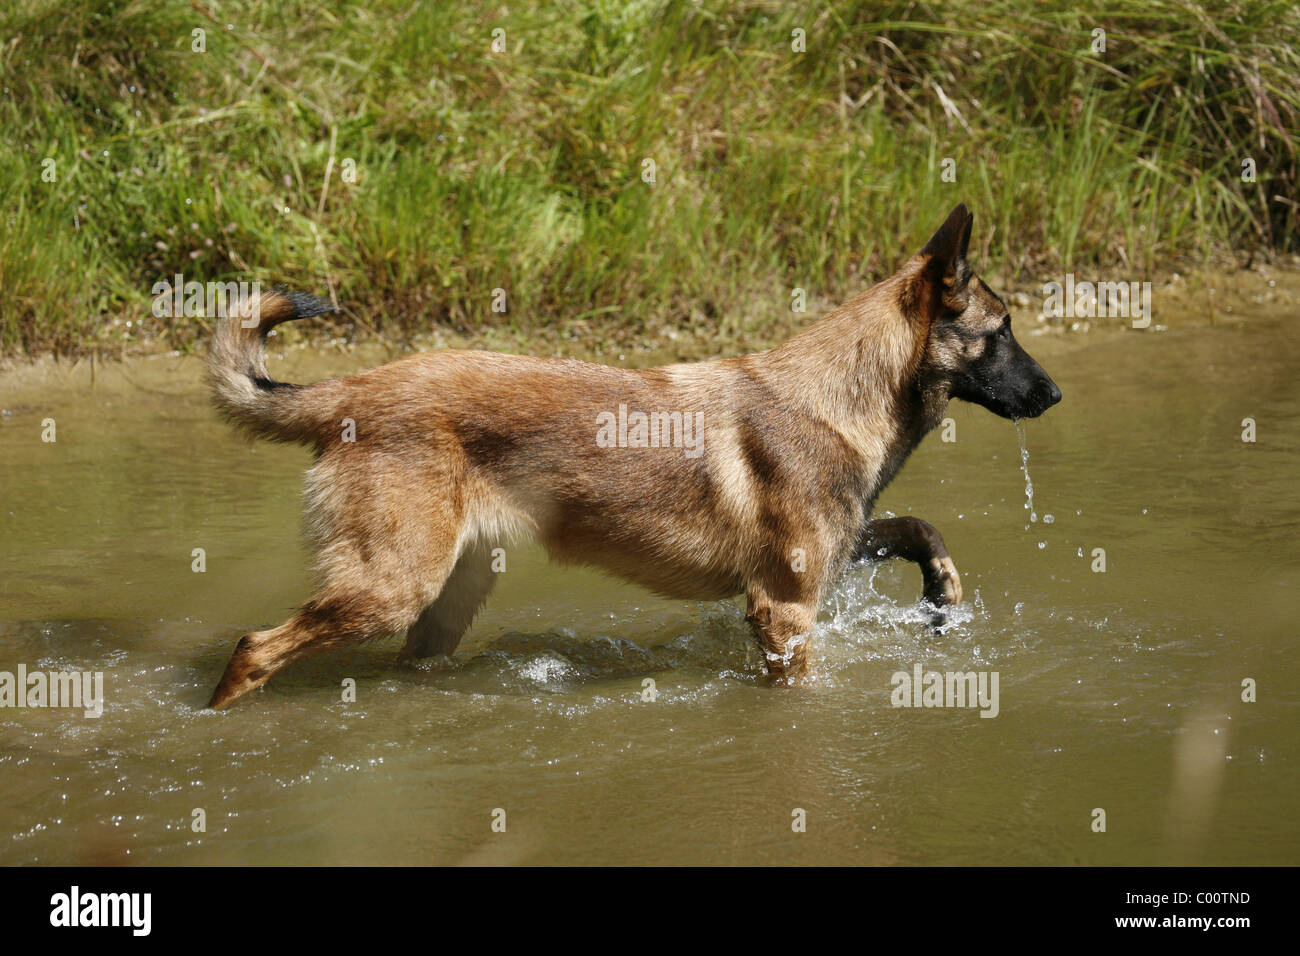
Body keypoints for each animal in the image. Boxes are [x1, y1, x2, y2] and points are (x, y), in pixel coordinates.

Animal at [202, 204, 1055, 712]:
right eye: (1003, 331)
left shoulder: (831, 553)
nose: (1051, 395)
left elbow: (919, 527)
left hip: (445, 598)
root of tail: (349, 390)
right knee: (252, 650)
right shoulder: (784, 609)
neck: (842, 396)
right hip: (389, 589)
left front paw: (943, 591)